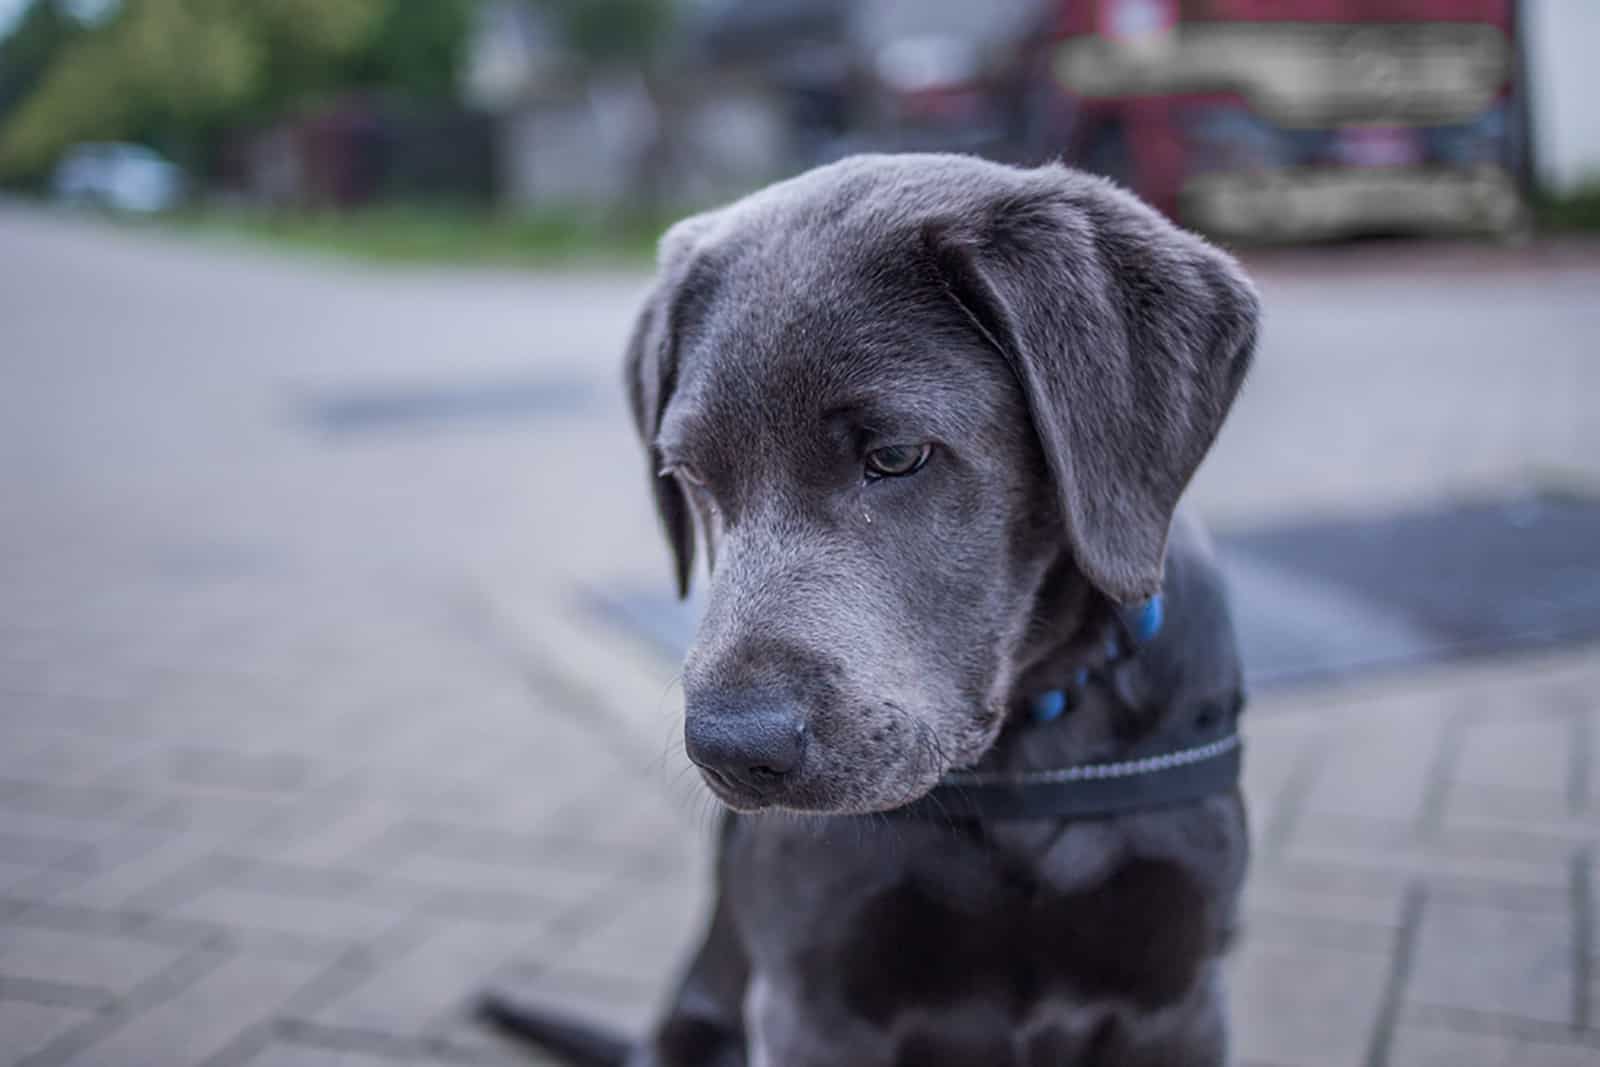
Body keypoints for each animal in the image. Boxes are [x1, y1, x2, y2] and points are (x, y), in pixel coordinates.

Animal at [480, 151, 1254, 1067]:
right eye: (691, 474)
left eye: (896, 455)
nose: (733, 748)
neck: (1024, 756)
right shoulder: (813, 1000)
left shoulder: (1179, 999)